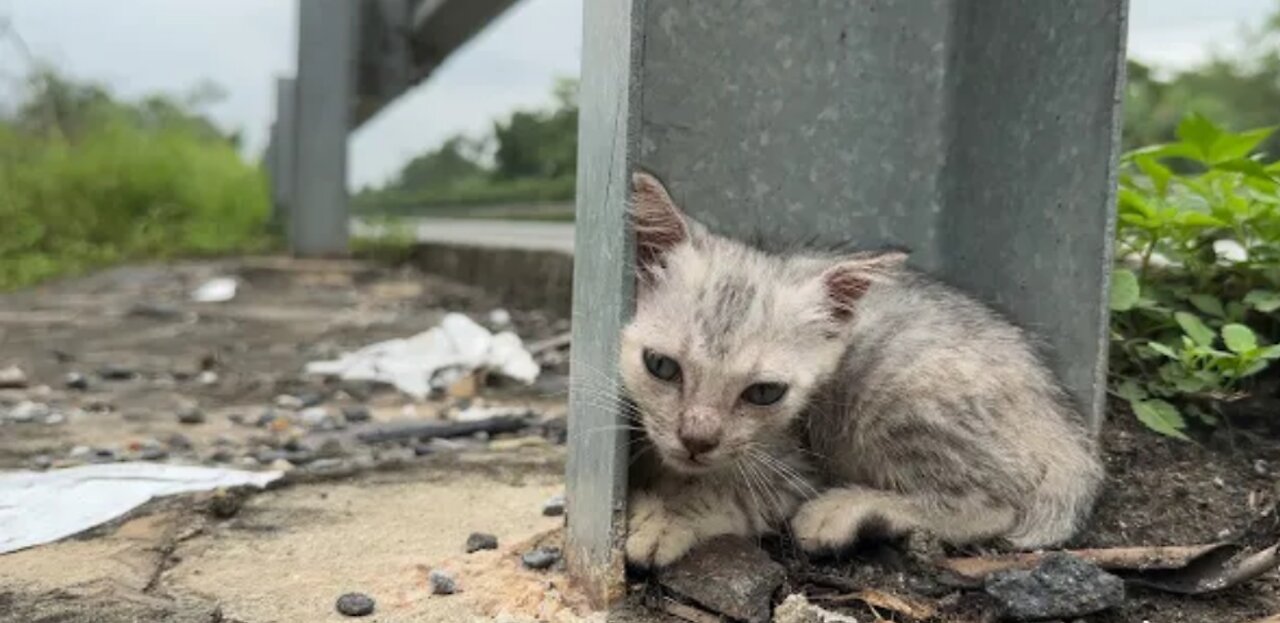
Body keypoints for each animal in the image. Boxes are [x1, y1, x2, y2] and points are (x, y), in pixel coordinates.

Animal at [619, 171, 1100, 570]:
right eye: (661, 366)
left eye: (764, 392)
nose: (697, 440)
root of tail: (1065, 428)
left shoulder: (797, 468)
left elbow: (730, 496)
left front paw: (667, 519)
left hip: (894, 392)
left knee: (997, 501)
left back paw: (846, 511)